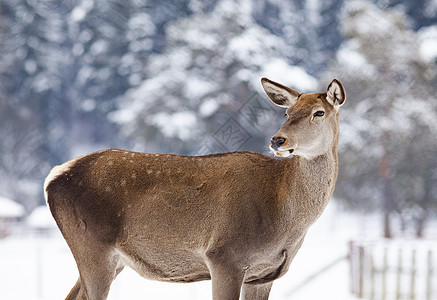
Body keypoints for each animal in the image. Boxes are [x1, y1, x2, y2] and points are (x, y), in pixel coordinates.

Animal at [43, 78, 344, 300]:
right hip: (92, 245)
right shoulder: (224, 256)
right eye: (287, 112)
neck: (285, 221)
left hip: (113, 259)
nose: (278, 140)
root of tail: (53, 177)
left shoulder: (264, 274)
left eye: (319, 113)